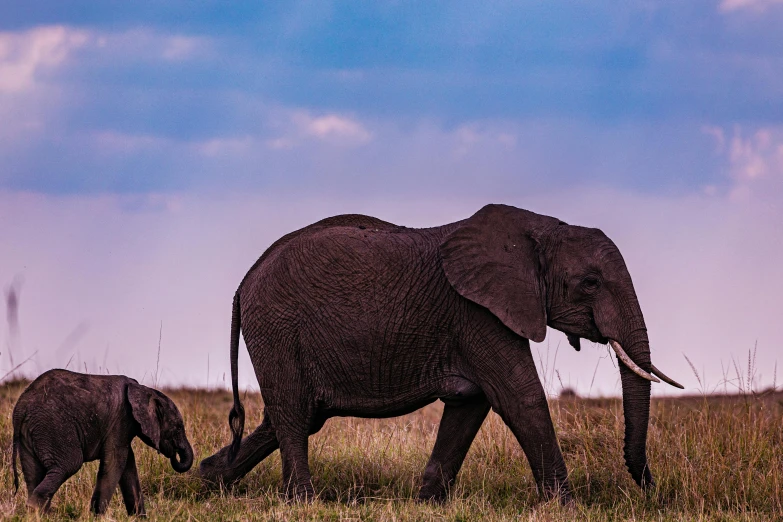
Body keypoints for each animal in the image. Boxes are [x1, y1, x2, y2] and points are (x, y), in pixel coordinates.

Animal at [12, 368, 193, 512]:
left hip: (31, 433)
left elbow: (128, 465)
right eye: (177, 427)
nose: (174, 453)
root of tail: (21, 407)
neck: (144, 390)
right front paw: (96, 515)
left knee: (33, 473)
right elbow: (115, 462)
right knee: (69, 464)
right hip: (54, 425)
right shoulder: (121, 420)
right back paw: (39, 510)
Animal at [199, 203, 684, 500]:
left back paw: (209, 478)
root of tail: (245, 282)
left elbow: (472, 403)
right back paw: (302, 500)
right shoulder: (478, 313)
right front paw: (566, 507)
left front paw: (427, 501)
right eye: (591, 282)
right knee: (295, 416)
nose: (650, 489)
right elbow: (519, 397)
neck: (539, 229)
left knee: (291, 416)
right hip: (278, 329)